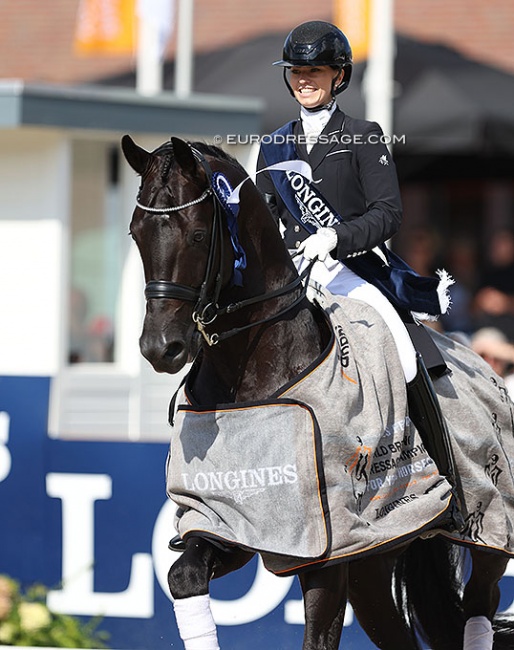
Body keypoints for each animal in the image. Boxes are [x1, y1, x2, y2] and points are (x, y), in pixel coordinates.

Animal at [123, 134, 512, 644]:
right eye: (136, 233)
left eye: (199, 235)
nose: (160, 348)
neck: (249, 377)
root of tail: (488, 370)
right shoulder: (235, 524)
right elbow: (183, 575)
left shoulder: (330, 548)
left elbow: (317, 636)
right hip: (375, 558)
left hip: (488, 527)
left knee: (478, 604)